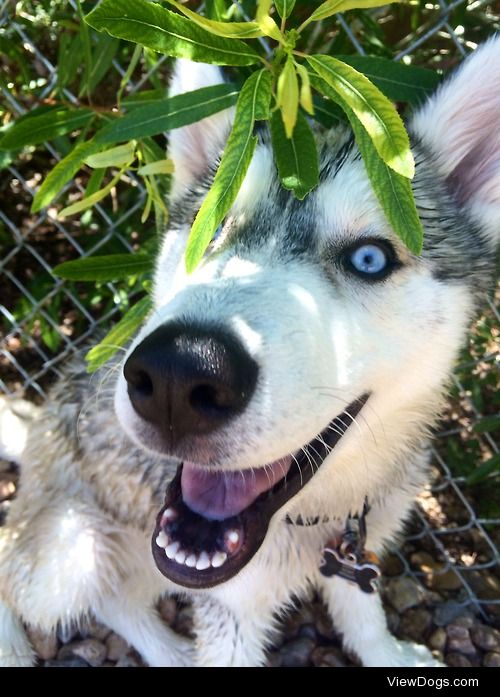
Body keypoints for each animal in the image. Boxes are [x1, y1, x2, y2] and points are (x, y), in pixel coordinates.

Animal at [0, 39, 500, 668]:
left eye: (370, 259)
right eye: (206, 228)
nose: (176, 377)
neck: (318, 515)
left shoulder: (358, 547)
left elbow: (364, 614)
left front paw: (389, 656)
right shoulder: (230, 611)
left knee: (118, 599)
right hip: (70, 553)